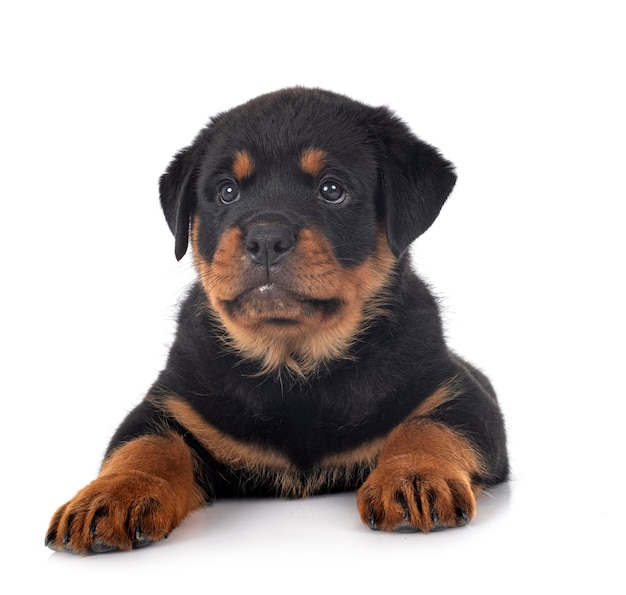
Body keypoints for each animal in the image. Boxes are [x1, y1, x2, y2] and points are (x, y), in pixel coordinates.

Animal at [45, 87, 508, 556]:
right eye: (227, 191)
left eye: (332, 189)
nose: (266, 237)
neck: (295, 365)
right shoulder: (168, 405)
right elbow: (145, 445)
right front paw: (111, 496)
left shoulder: (458, 393)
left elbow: (429, 426)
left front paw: (412, 477)